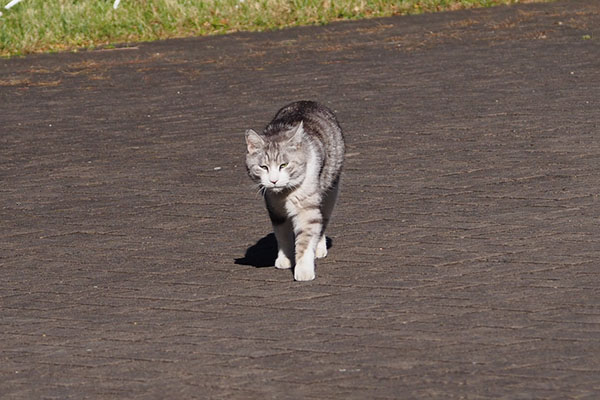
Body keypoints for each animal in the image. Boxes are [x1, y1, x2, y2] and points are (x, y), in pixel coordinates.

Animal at [245, 101, 346, 282]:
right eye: (263, 167)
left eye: (284, 165)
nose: (273, 180)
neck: (284, 193)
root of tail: (307, 101)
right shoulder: (274, 209)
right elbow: (282, 235)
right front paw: (285, 259)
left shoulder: (307, 209)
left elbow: (306, 238)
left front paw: (304, 269)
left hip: (330, 192)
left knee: (322, 220)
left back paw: (319, 248)